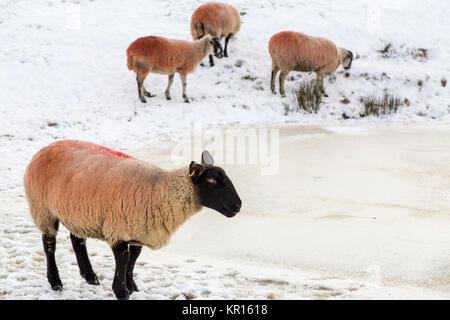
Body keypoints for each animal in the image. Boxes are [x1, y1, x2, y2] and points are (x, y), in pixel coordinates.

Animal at [23, 140, 243, 300]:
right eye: (212, 180)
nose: (238, 205)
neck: (161, 190)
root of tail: (44, 149)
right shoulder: (118, 230)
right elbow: (123, 260)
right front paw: (121, 291)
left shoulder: (138, 230)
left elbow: (133, 259)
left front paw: (132, 287)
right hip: (43, 210)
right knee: (49, 245)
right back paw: (56, 282)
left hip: (77, 212)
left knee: (77, 241)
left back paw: (91, 277)